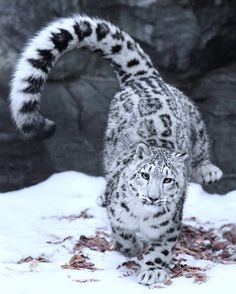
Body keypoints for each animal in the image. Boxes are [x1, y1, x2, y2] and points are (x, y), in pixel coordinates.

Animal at [8, 14, 223, 284]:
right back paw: (103, 196)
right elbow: (122, 234)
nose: (153, 197)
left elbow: (161, 249)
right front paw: (132, 248)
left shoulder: (169, 227)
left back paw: (209, 171)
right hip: (110, 144)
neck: (143, 215)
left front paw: (152, 270)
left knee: (201, 143)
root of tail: (145, 78)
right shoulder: (118, 217)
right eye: (145, 175)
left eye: (168, 180)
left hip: (195, 121)